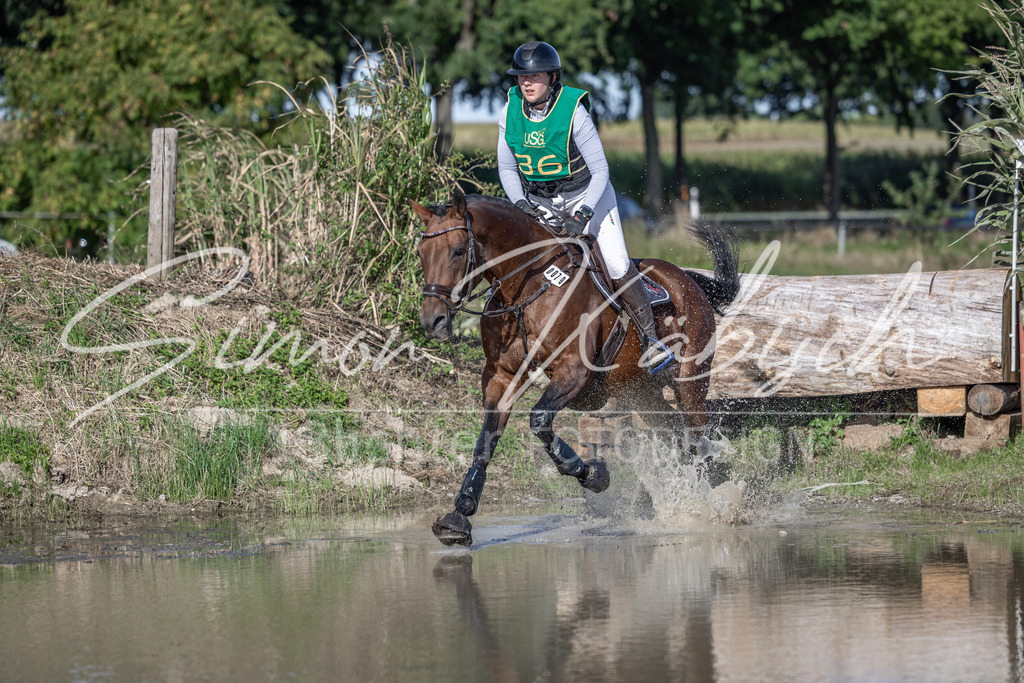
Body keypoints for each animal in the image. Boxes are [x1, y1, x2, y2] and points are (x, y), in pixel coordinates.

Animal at [410, 186, 740, 546]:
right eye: (421, 253)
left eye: (458, 251)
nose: (432, 320)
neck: (528, 288)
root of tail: (687, 279)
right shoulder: (501, 377)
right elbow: (485, 441)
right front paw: (460, 514)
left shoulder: (574, 371)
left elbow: (540, 420)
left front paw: (594, 475)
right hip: (643, 393)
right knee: (675, 434)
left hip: (690, 383)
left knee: (695, 436)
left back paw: (711, 503)